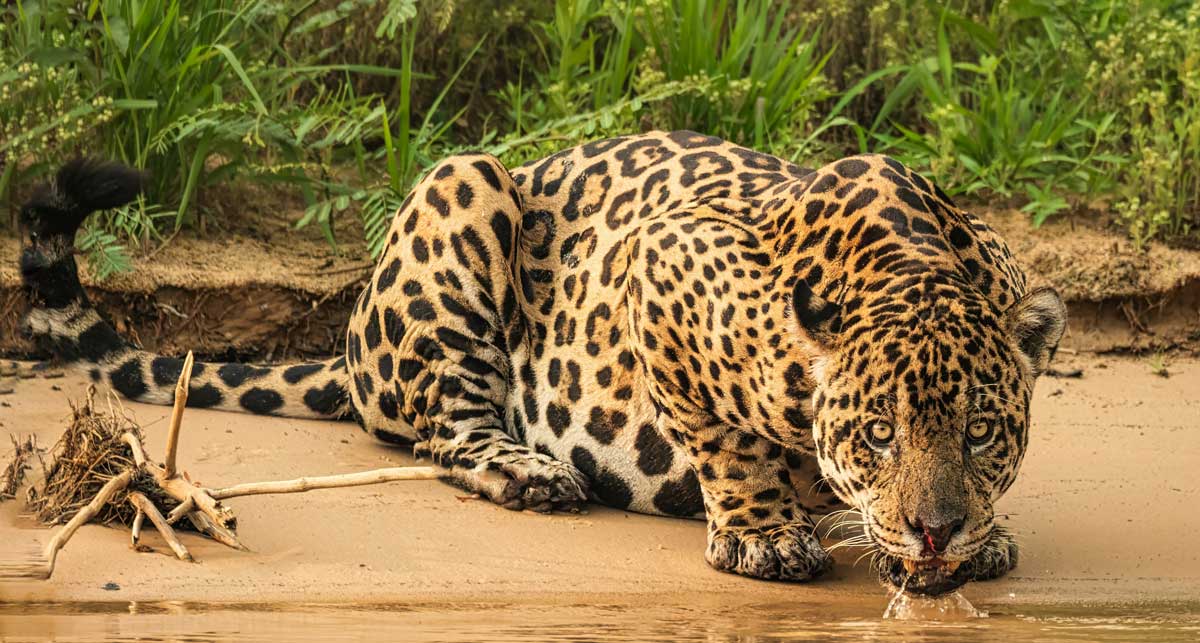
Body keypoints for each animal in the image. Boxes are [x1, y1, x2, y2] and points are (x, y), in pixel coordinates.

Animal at [17, 131, 1066, 595]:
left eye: (982, 432)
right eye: (878, 433)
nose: (935, 530)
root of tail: (351, 338)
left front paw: (980, 536)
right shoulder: (664, 260)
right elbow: (726, 441)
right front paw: (766, 533)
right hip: (462, 188)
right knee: (447, 430)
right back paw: (532, 471)